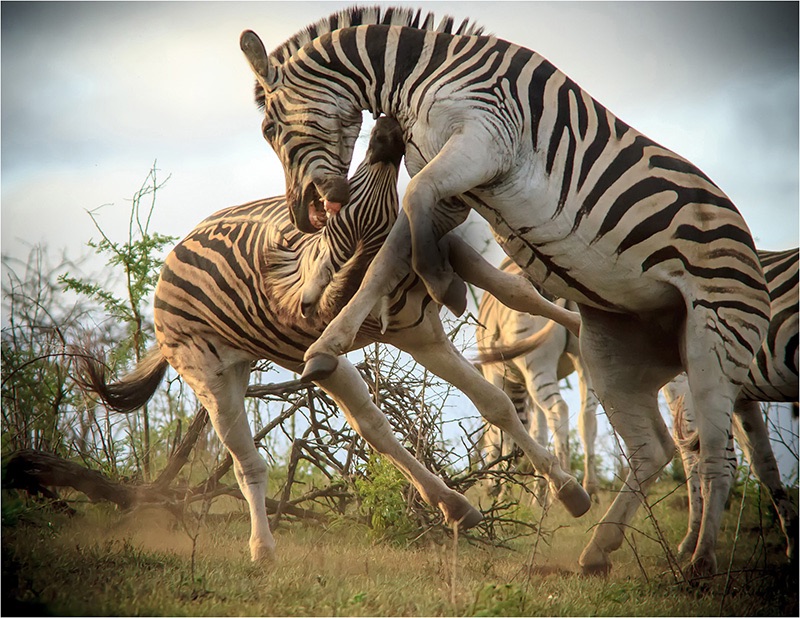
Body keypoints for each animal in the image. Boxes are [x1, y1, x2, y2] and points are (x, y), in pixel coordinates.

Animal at [475, 257, 599, 502]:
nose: (486, 492)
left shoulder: (496, 375)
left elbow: (503, 433)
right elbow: (537, 431)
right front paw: (537, 495)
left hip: (537, 364)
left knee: (559, 409)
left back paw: (563, 489)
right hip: (584, 359)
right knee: (586, 416)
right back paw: (589, 487)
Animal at [663, 248, 798, 563]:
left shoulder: (686, 389)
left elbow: (696, 462)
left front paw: (692, 543)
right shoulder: (741, 400)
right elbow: (764, 464)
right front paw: (793, 543)